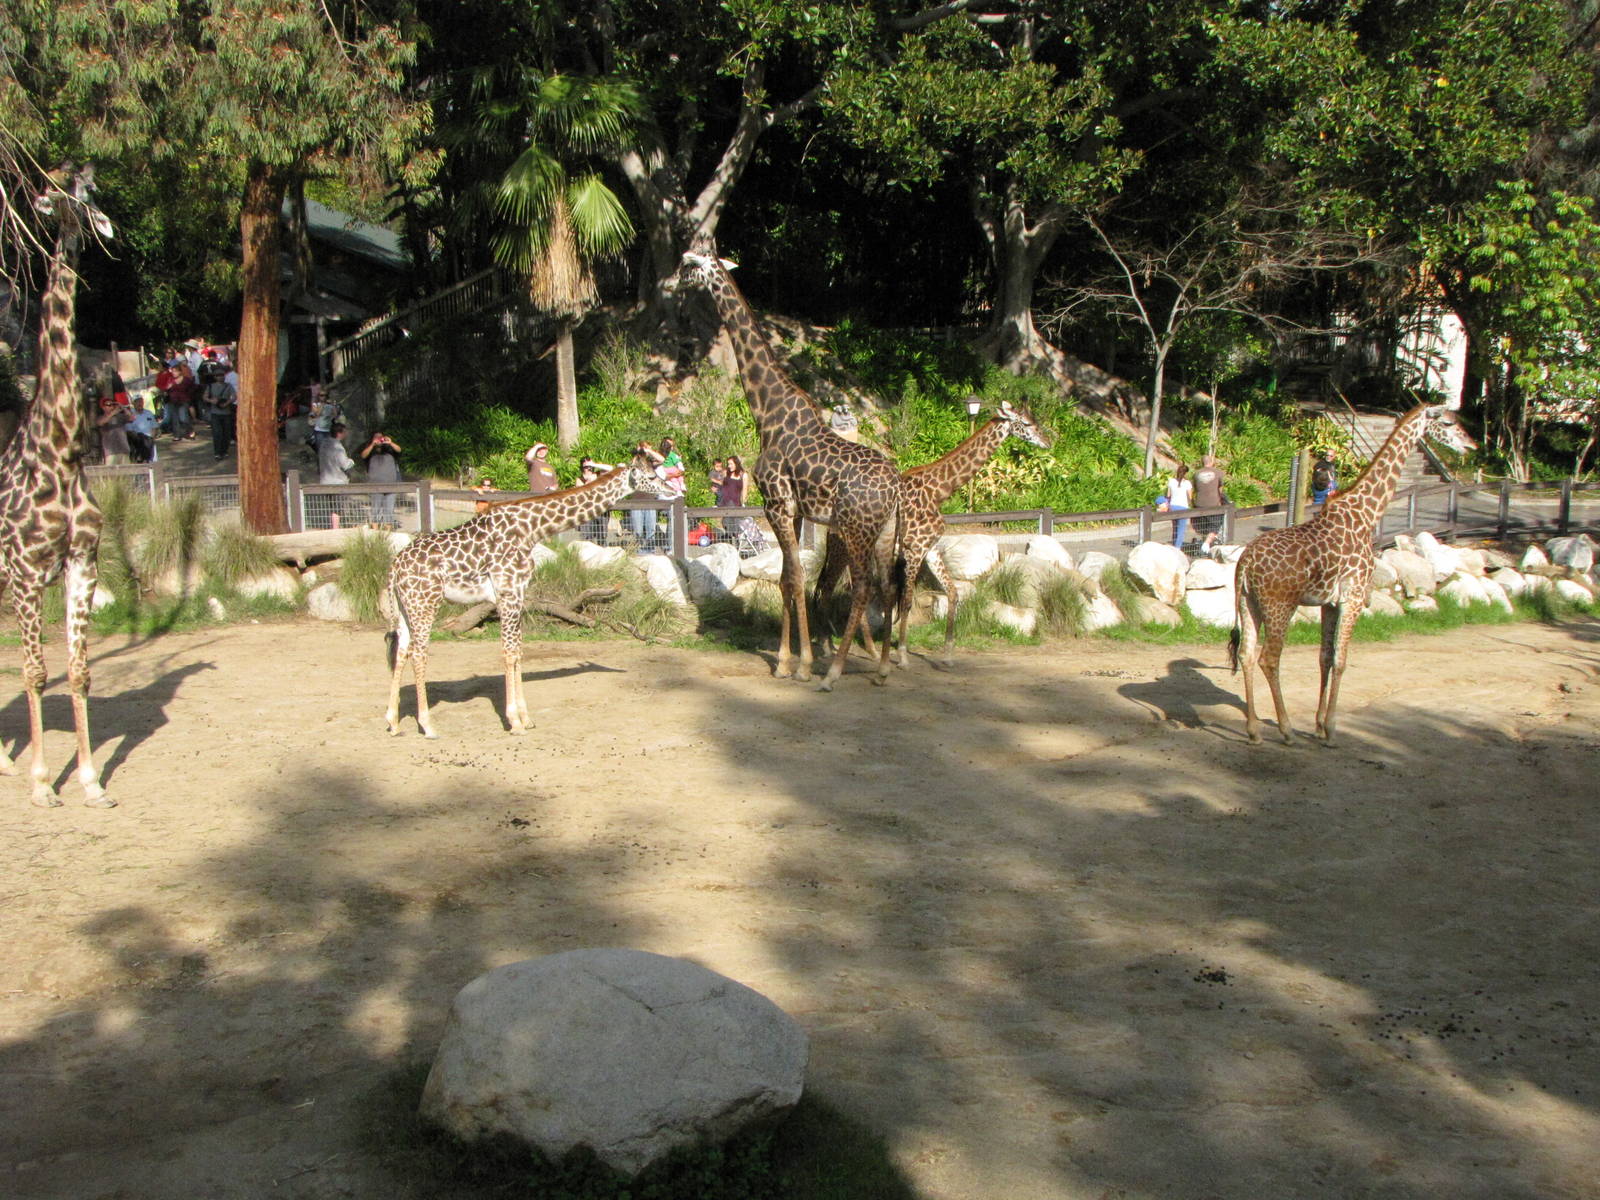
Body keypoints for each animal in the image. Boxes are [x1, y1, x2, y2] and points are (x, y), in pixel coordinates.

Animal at [384, 459, 673, 738]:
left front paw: (526, 718)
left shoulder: (519, 593)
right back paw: (428, 726)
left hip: (406, 607)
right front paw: (514, 721)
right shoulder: (508, 591)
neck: (532, 529)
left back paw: (393, 722)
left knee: (401, 650)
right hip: (425, 602)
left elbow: (519, 650)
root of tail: (395, 566)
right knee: (419, 652)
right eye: (651, 475)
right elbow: (509, 652)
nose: (673, 490)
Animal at [674, 250, 905, 690]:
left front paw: (802, 664)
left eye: (689, 265)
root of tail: (896, 489)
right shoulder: (793, 511)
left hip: (855, 531)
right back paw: (883, 669)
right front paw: (785, 661)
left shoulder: (776, 504)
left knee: (862, 588)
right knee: (886, 587)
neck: (767, 412)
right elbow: (784, 579)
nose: (673, 284)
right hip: (884, 532)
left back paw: (833, 672)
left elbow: (795, 579)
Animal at [816, 399, 1050, 667]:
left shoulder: (931, 550)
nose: (1048, 442)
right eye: (1027, 423)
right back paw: (826, 648)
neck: (939, 490)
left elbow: (953, 593)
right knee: (827, 587)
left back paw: (868, 651)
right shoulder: (914, 548)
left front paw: (947, 655)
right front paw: (903, 656)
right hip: (843, 548)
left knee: (845, 589)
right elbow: (906, 602)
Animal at [1229, 403, 1472, 745]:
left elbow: (1325, 657)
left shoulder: (1330, 603)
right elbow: (1342, 661)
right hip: (1279, 606)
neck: (1367, 514)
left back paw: (1253, 730)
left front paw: (1318, 725)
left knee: (1247, 655)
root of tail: (1246, 564)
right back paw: (1286, 730)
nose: (1470, 445)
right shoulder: (1354, 597)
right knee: (1269, 659)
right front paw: (1331, 729)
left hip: (1248, 603)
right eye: (1449, 422)